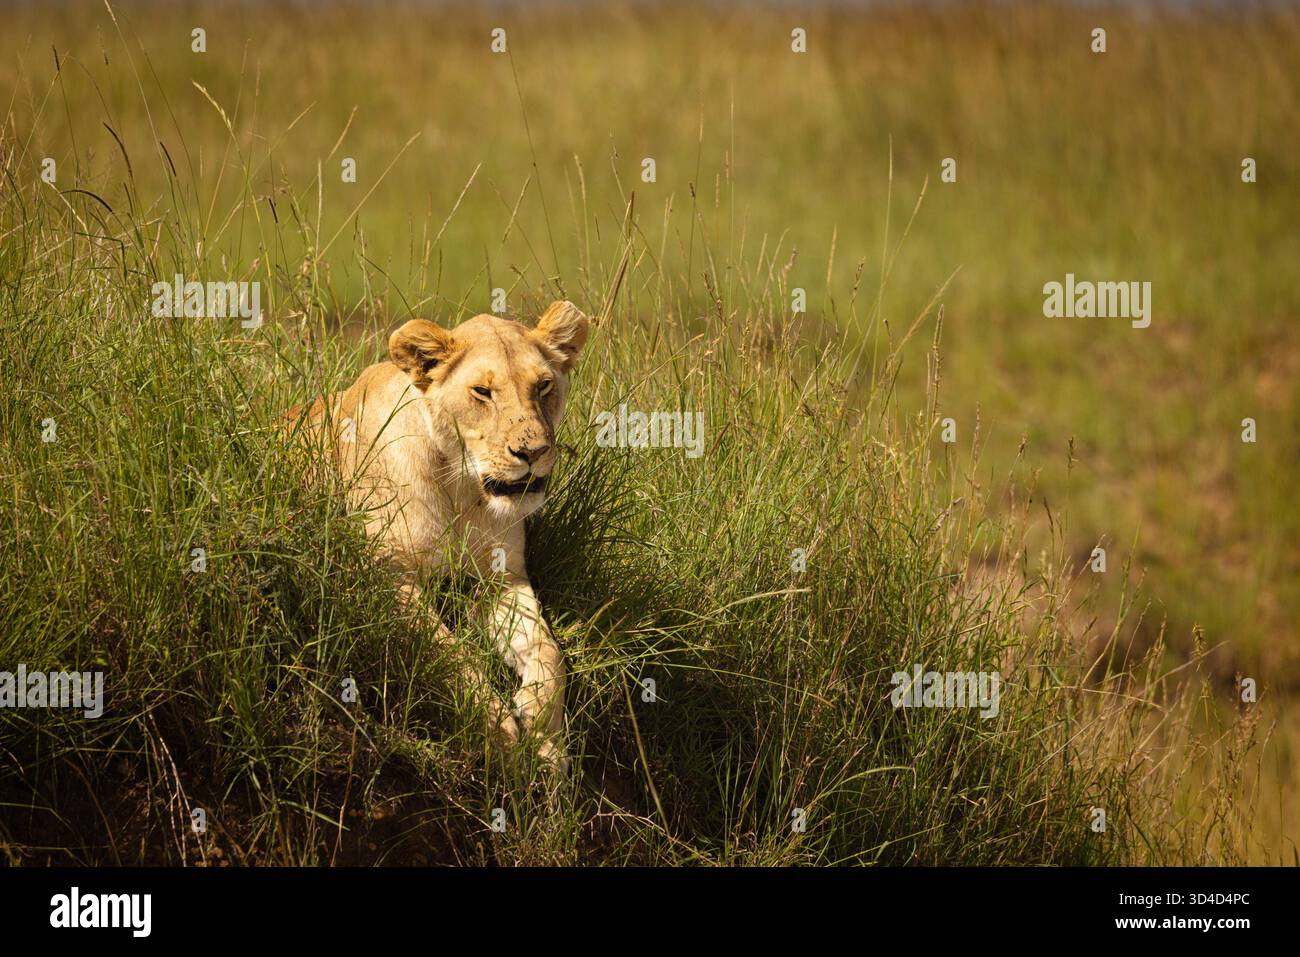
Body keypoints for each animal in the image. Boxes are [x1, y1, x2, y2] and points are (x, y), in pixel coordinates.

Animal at [288, 300, 590, 770]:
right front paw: (500, 734)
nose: (533, 453)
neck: (462, 487)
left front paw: (543, 734)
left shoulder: (499, 578)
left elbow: (548, 651)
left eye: (543, 386)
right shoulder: (389, 576)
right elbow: (451, 651)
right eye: (482, 392)